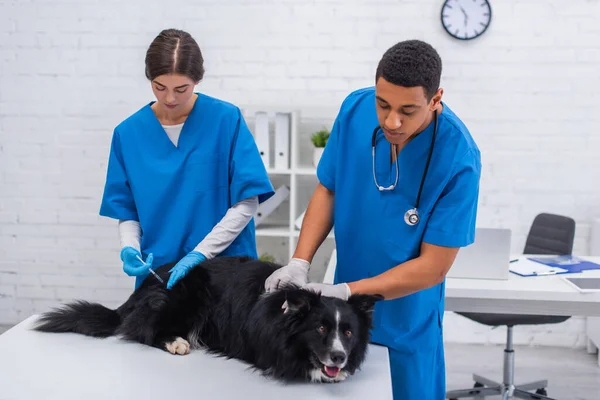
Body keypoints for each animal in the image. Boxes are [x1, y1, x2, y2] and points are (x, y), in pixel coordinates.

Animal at [32, 255, 382, 382]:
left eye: (348, 333)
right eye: (321, 328)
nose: (338, 357)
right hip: (185, 293)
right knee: (144, 330)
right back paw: (177, 342)